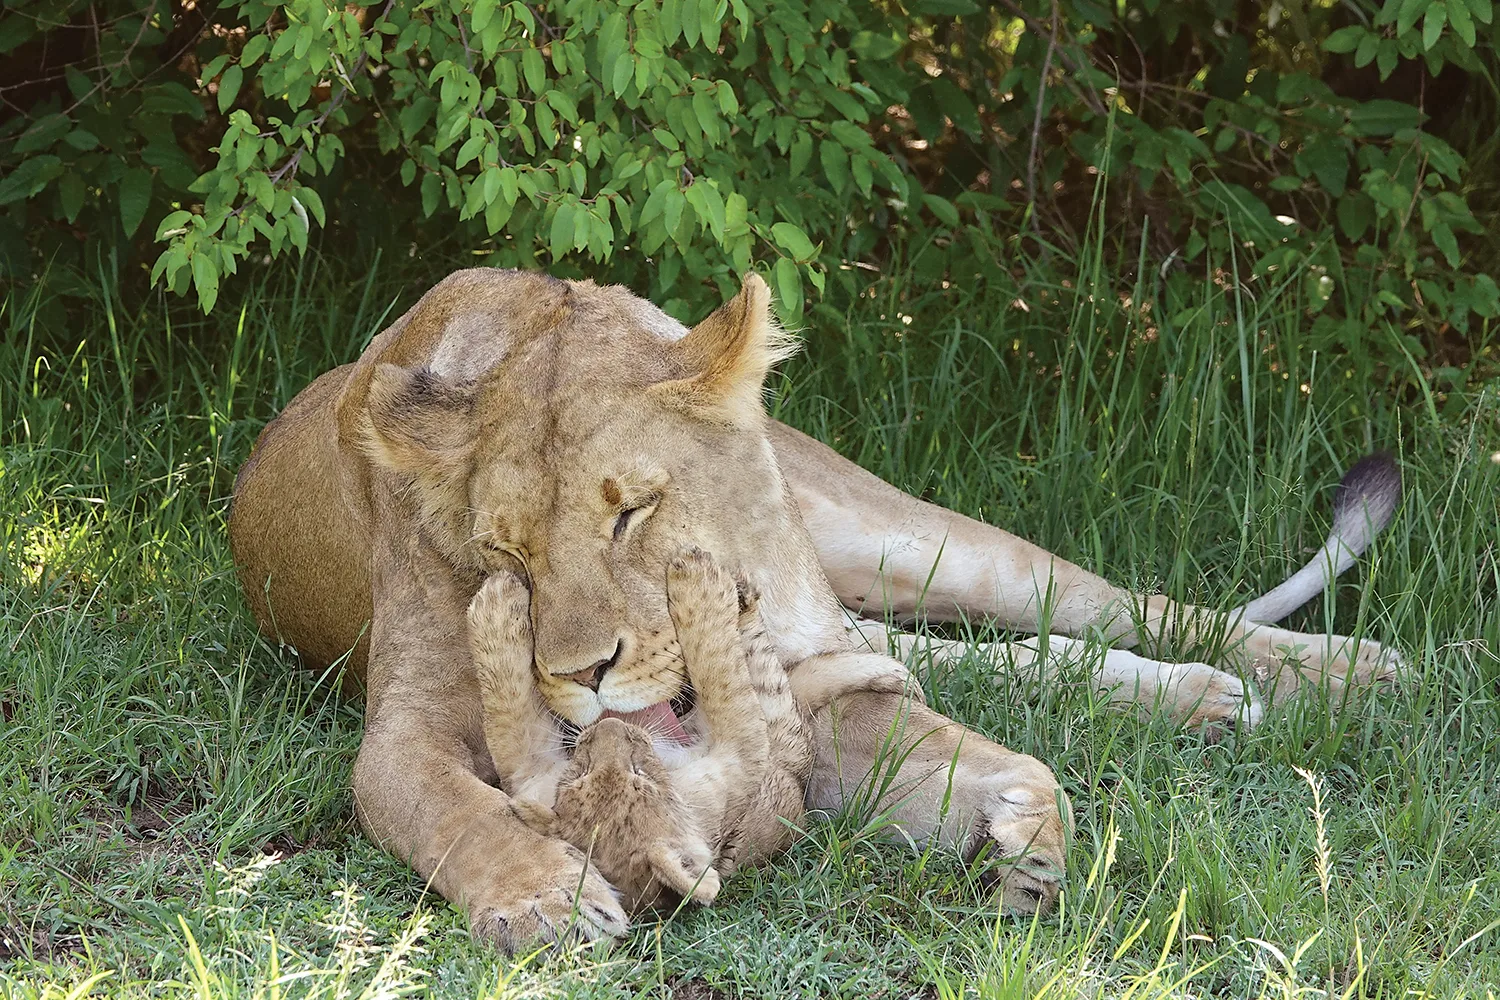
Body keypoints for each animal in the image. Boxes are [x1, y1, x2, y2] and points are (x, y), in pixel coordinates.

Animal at [228, 267, 1402, 951]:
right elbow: (450, 808)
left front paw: (1025, 822)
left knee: (1095, 601)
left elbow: (945, 741)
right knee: (990, 652)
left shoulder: (812, 694)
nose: (579, 675)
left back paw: (1339, 669)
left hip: (898, 541)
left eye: (632, 512)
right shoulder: (405, 733)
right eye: (504, 552)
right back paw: (1219, 701)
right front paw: (544, 899)